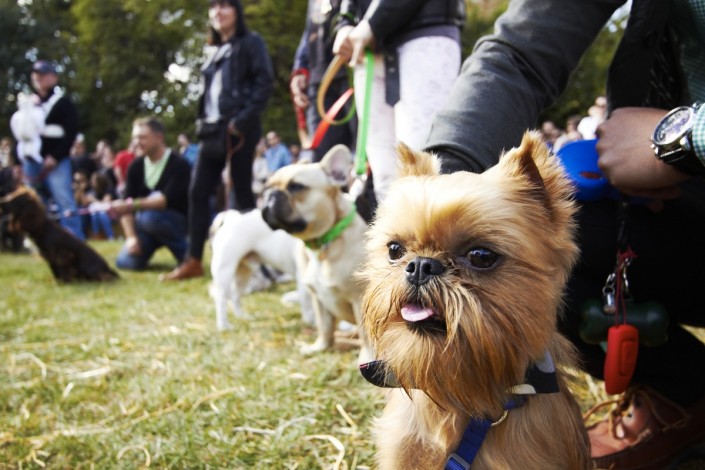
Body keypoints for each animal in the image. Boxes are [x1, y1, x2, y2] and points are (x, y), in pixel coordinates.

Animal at [262, 145, 371, 362]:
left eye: (296, 186)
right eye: (268, 186)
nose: (270, 195)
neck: (322, 245)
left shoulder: (359, 298)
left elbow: (365, 336)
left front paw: (367, 357)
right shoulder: (318, 298)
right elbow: (324, 326)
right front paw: (320, 347)